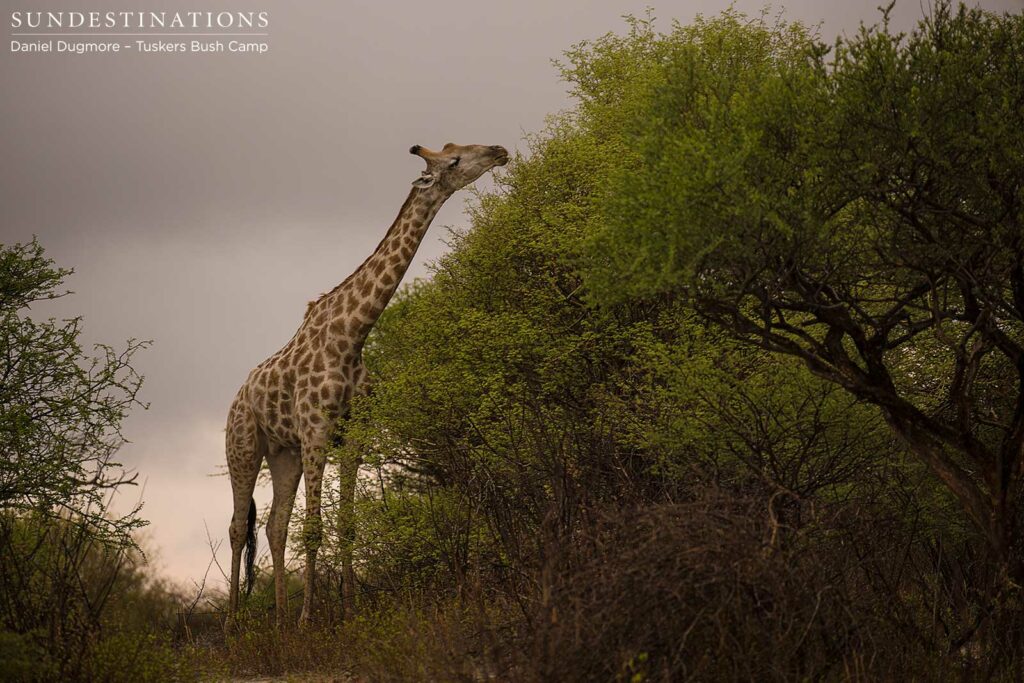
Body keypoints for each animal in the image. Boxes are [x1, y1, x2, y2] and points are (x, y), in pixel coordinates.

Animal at [225, 142, 509, 627]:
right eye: (454, 161)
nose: (499, 151)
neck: (352, 335)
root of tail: (238, 398)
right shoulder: (317, 431)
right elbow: (315, 528)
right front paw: (310, 619)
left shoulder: (352, 434)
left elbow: (347, 526)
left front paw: (349, 611)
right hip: (243, 447)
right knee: (236, 526)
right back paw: (233, 622)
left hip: (284, 453)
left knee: (274, 525)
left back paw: (278, 619)